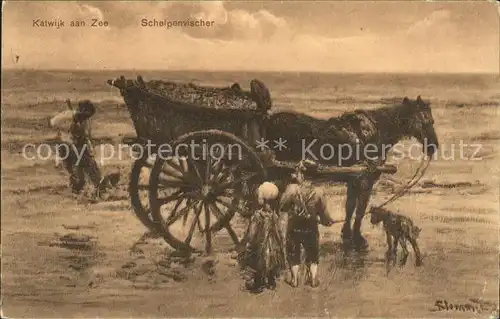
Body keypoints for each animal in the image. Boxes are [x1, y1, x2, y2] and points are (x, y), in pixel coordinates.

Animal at [266, 96, 438, 251]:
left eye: (431, 121)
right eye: (426, 121)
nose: (433, 146)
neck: (375, 131)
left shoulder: (353, 180)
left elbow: (350, 208)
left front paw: (347, 235)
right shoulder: (366, 180)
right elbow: (360, 210)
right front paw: (358, 239)